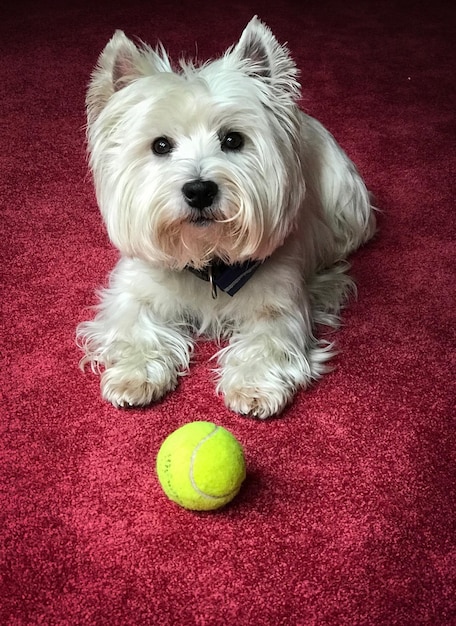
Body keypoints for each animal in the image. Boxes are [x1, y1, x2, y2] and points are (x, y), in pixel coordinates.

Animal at [78, 17, 376, 416]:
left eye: (233, 139)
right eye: (160, 145)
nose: (199, 190)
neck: (208, 262)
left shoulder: (278, 300)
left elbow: (269, 339)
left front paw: (253, 386)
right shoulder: (134, 288)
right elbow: (134, 326)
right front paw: (133, 375)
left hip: (346, 205)